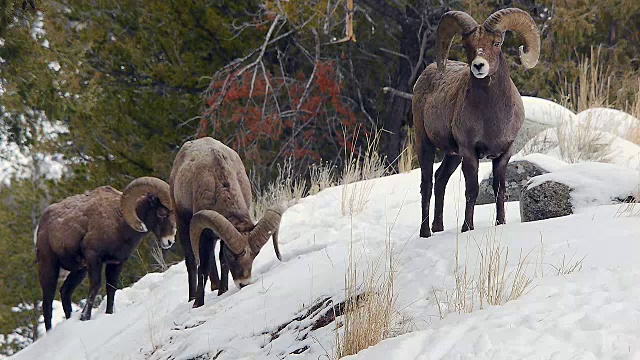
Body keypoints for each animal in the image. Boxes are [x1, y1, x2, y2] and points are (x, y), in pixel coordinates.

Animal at [36, 176, 176, 330]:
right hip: (49, 268)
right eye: (161, 212)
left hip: (79, 270)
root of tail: (43, 223)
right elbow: (96, 285)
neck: (120, 224)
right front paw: (85, 317)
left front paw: (108, 313)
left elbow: (111, 288)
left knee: (65, 292)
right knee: (47, 303)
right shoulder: (93, 257)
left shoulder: (116, 263)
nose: (169, 241)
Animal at [170, 137, 282, 306]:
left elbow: (221, 261)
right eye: (232, 256)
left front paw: (223, 291)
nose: (244, 283)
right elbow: (203, 267)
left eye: (255, 255)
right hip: (184, 225)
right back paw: (192, 298)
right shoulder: (204, 235)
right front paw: (198, 304)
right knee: (192, 262)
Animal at [410, 7, 540, 236]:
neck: (491, 118)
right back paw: (426, 232)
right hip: (424, 142)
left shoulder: (503, 154)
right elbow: (471, 190)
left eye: (496, 43)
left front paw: (500, 223)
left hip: (452, 155)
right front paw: (467, 228)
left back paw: (438, 227)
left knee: (440, 179)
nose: (479, 66)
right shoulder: (470, 153)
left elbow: (499, 190)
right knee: (426, 183)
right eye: (466, 45)